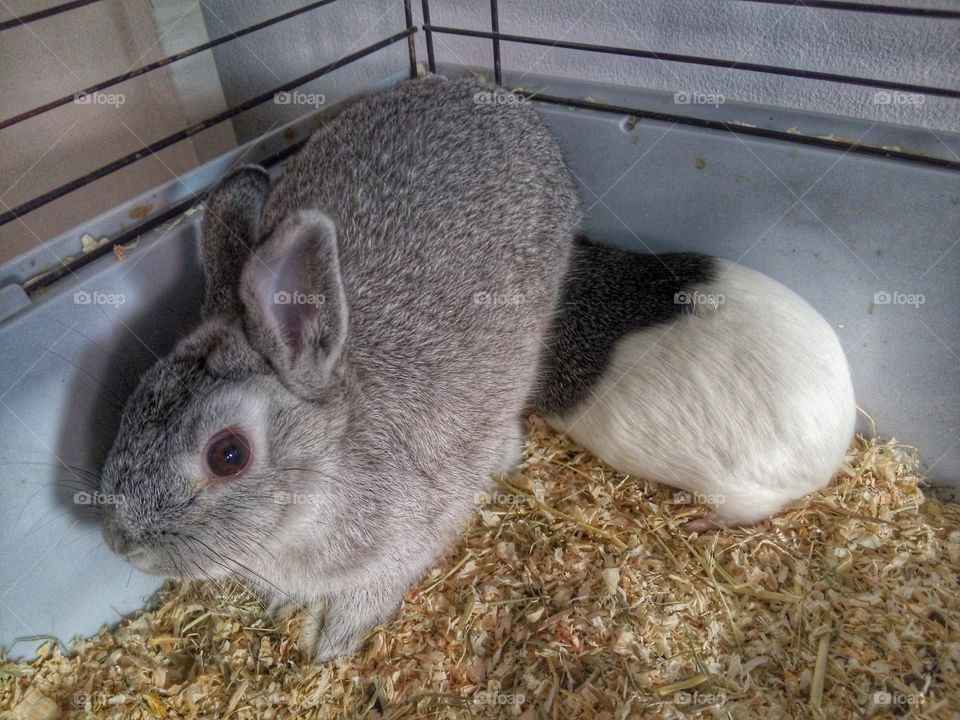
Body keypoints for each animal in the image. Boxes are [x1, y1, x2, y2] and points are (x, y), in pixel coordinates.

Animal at [99, 78, 580, 660]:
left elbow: (369, 594)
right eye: (138, 398)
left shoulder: (408, 542)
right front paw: (288, 611)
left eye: (228, 454)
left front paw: (328, 643)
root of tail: (498, 99)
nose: (121, 543)